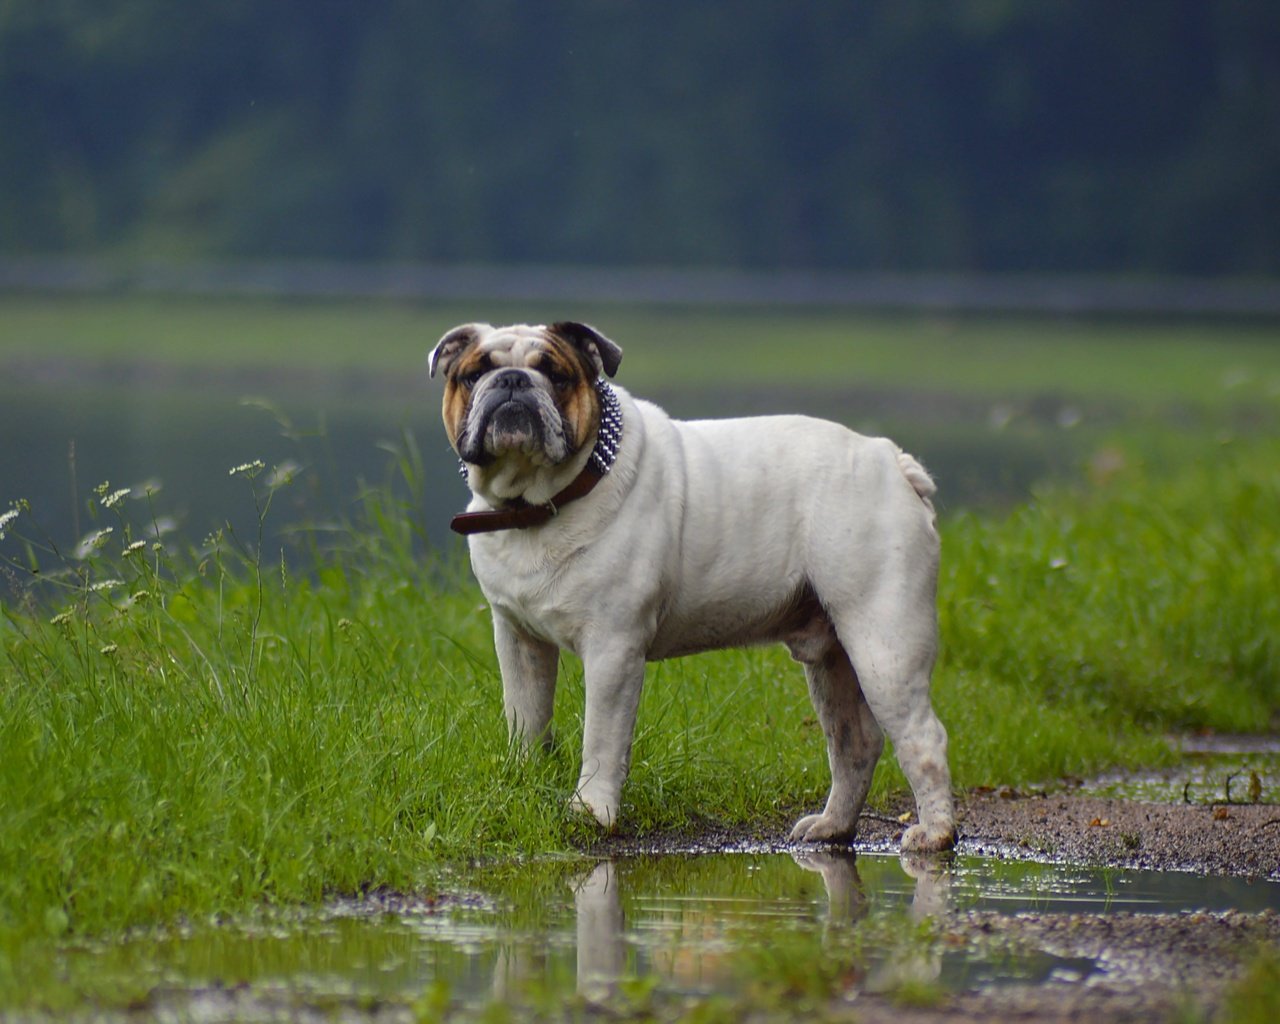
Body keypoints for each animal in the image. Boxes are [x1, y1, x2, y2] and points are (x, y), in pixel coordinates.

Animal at [430, 323, 952, 849]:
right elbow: (526, 718)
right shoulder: (519, 641)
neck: (535, 506)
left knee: (923, 737)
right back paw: (832, 825)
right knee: (854, 742)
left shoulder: (613, 650)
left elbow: (601, 737)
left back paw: (935, 833)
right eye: (473, 374)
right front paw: (522, 780)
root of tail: (889, 458)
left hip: (883, 645)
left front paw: (592, 810)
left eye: (556, 375)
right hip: (833, 659)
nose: (513, 381)